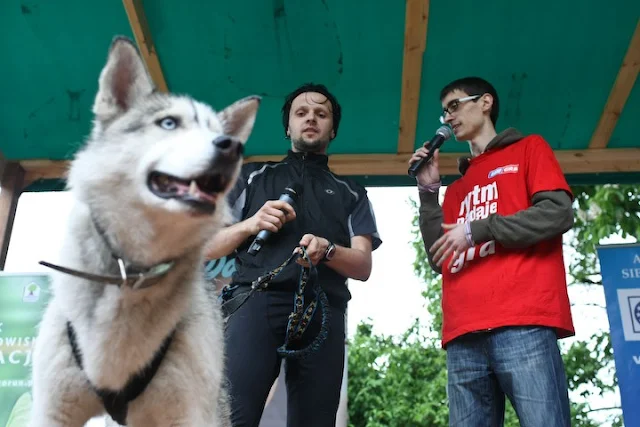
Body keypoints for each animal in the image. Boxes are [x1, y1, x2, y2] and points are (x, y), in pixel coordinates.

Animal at [27, 37, 258, 427]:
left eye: (219, 132)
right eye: (168, 123)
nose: (233, 146)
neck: (133, 273)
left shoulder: (188, 412)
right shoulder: (52, 411)